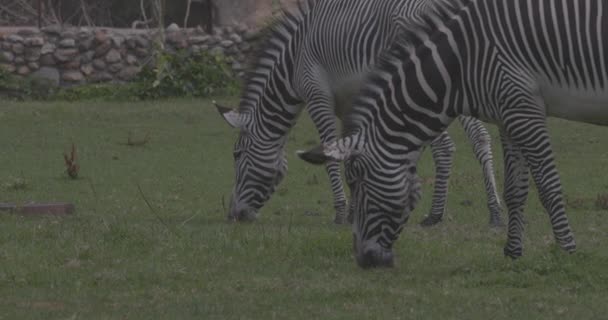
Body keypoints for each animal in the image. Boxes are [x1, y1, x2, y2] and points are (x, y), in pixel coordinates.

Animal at [216, 0, 502, 225]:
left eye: (236, 154)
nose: (233, 216)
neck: (292, 62)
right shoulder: (350, 104)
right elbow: (349, 150)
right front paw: (356, 211)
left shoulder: (317, 97)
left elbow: (331, 154)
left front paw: (342, 214)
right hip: (452, 83)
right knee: (480, 139)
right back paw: (495, 212)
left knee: (445, 147)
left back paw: (435, 215)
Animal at [294, 0, 608, 268]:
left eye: (357, 182)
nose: (364, 260)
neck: (462, 59)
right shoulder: (509, 115)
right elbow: (515, 190)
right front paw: (512, 253)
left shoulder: (523, 108)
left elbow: (549, 186)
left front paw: (566, 250)